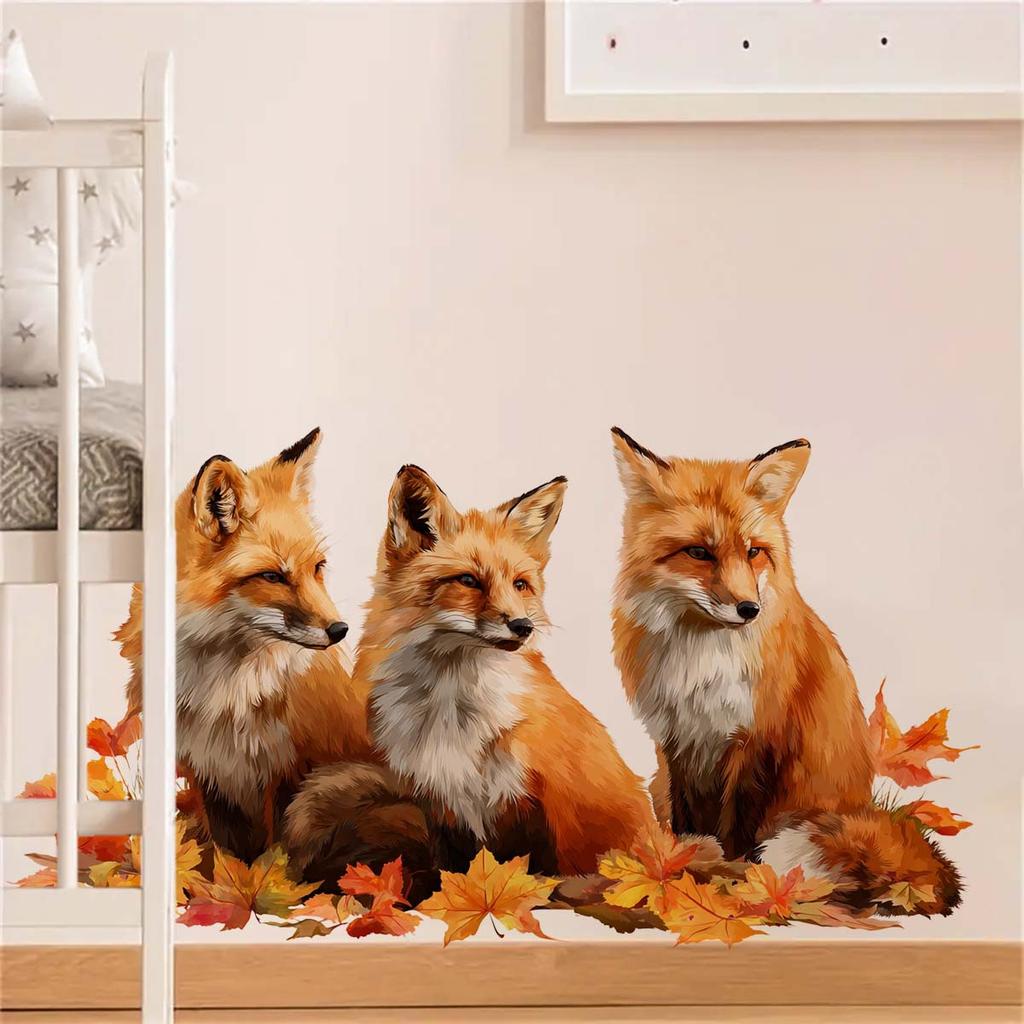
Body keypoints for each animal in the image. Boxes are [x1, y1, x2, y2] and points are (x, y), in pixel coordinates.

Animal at [117, 428, 373, 861]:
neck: (226, 691)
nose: (339, 630)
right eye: (273, 576)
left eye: (317, 568)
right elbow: (229, 856)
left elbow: (279, 852)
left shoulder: (290, 769)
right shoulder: (209, 773)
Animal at [284, 464, 655, 890]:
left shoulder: (539, 800)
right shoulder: (439, 803)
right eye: (468, 581)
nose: (523, 626)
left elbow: (542, 871)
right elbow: (452, 868)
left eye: (520, 584)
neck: (453, 711)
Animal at [609, 427, 961, 916]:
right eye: (699, 552)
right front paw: (679, 859)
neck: (702, 660)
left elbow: (738, 828)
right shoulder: (675, 737)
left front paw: (738, 877)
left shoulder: (758, 739)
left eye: (754, 552)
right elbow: (684, 820)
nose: (749, 609)